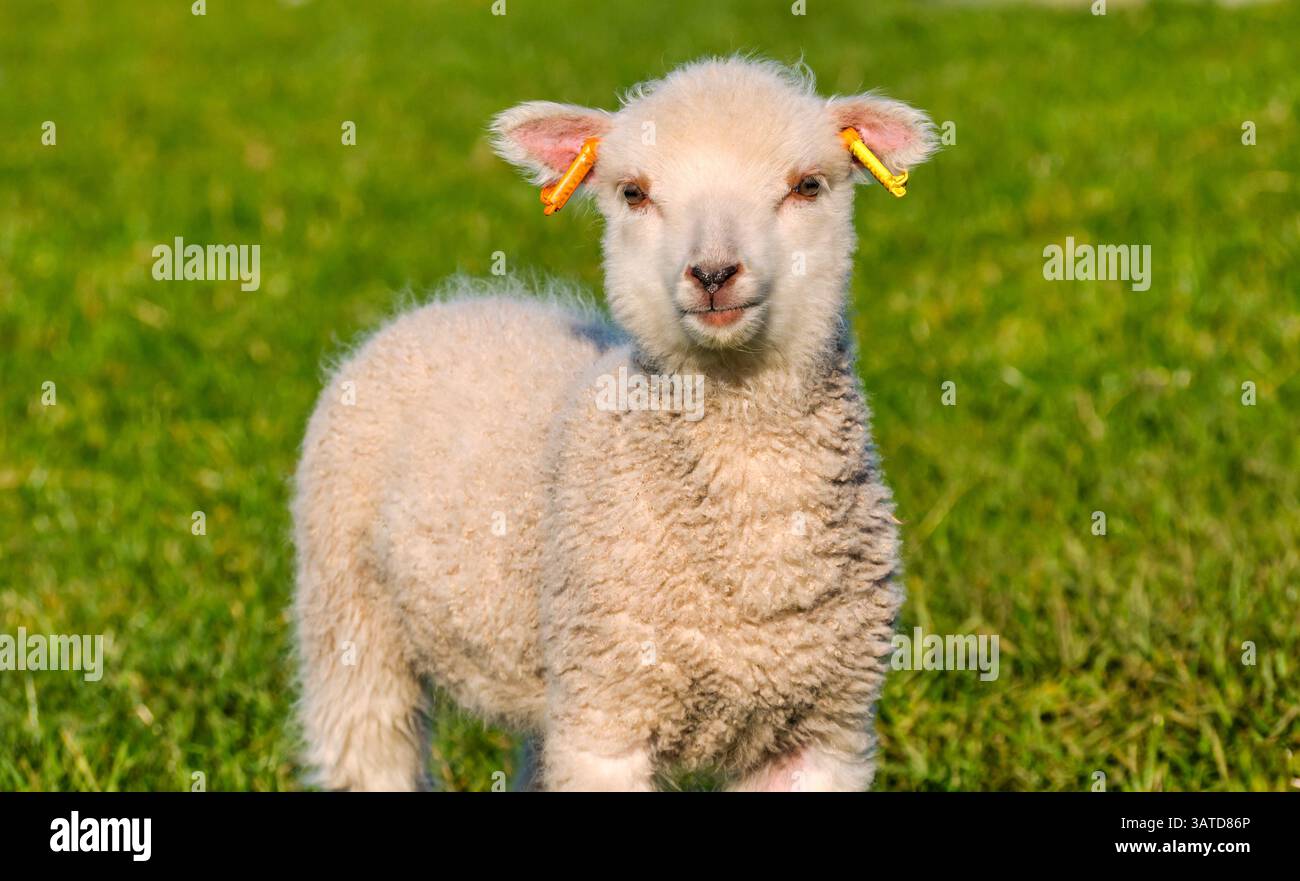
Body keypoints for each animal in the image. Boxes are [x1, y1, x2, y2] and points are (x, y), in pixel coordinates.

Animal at [292, 56, 939, 792]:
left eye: (807, 186)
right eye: (634, 193)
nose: (712, 273)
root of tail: (449, 303)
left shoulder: (823, 730)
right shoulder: (608, 713)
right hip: (347, 606)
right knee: (366, 743)